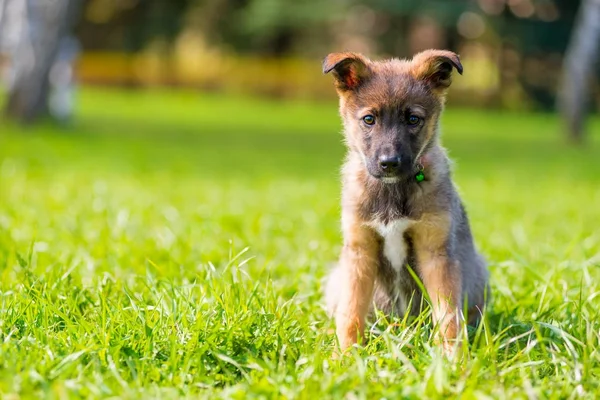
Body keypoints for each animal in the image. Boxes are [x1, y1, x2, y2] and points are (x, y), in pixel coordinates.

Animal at [324, 49, 488, 354]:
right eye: (369, 119)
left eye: (413, 119)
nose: (389, 163)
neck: (392, 191)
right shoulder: (359, 252)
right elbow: (350, 312)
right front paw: (346, 355)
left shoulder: (436, 253)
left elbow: (448, 316)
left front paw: (451, 357)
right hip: (336, 278)